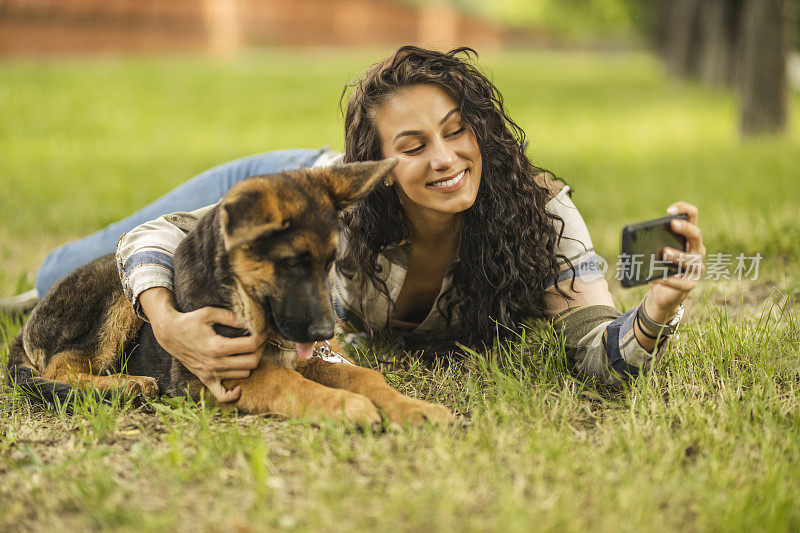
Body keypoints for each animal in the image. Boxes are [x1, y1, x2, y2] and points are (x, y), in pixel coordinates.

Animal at [6, 160, 454, 426]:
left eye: (331, 261)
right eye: (291, 263)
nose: (328, 333)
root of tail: (26, 329)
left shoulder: (307, 356)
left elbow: (363, 375)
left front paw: (413, 408)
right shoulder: (216, 374)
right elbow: (283, 383)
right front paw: (348, 406)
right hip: (115, 295)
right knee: (60, 369)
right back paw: (127, 385)